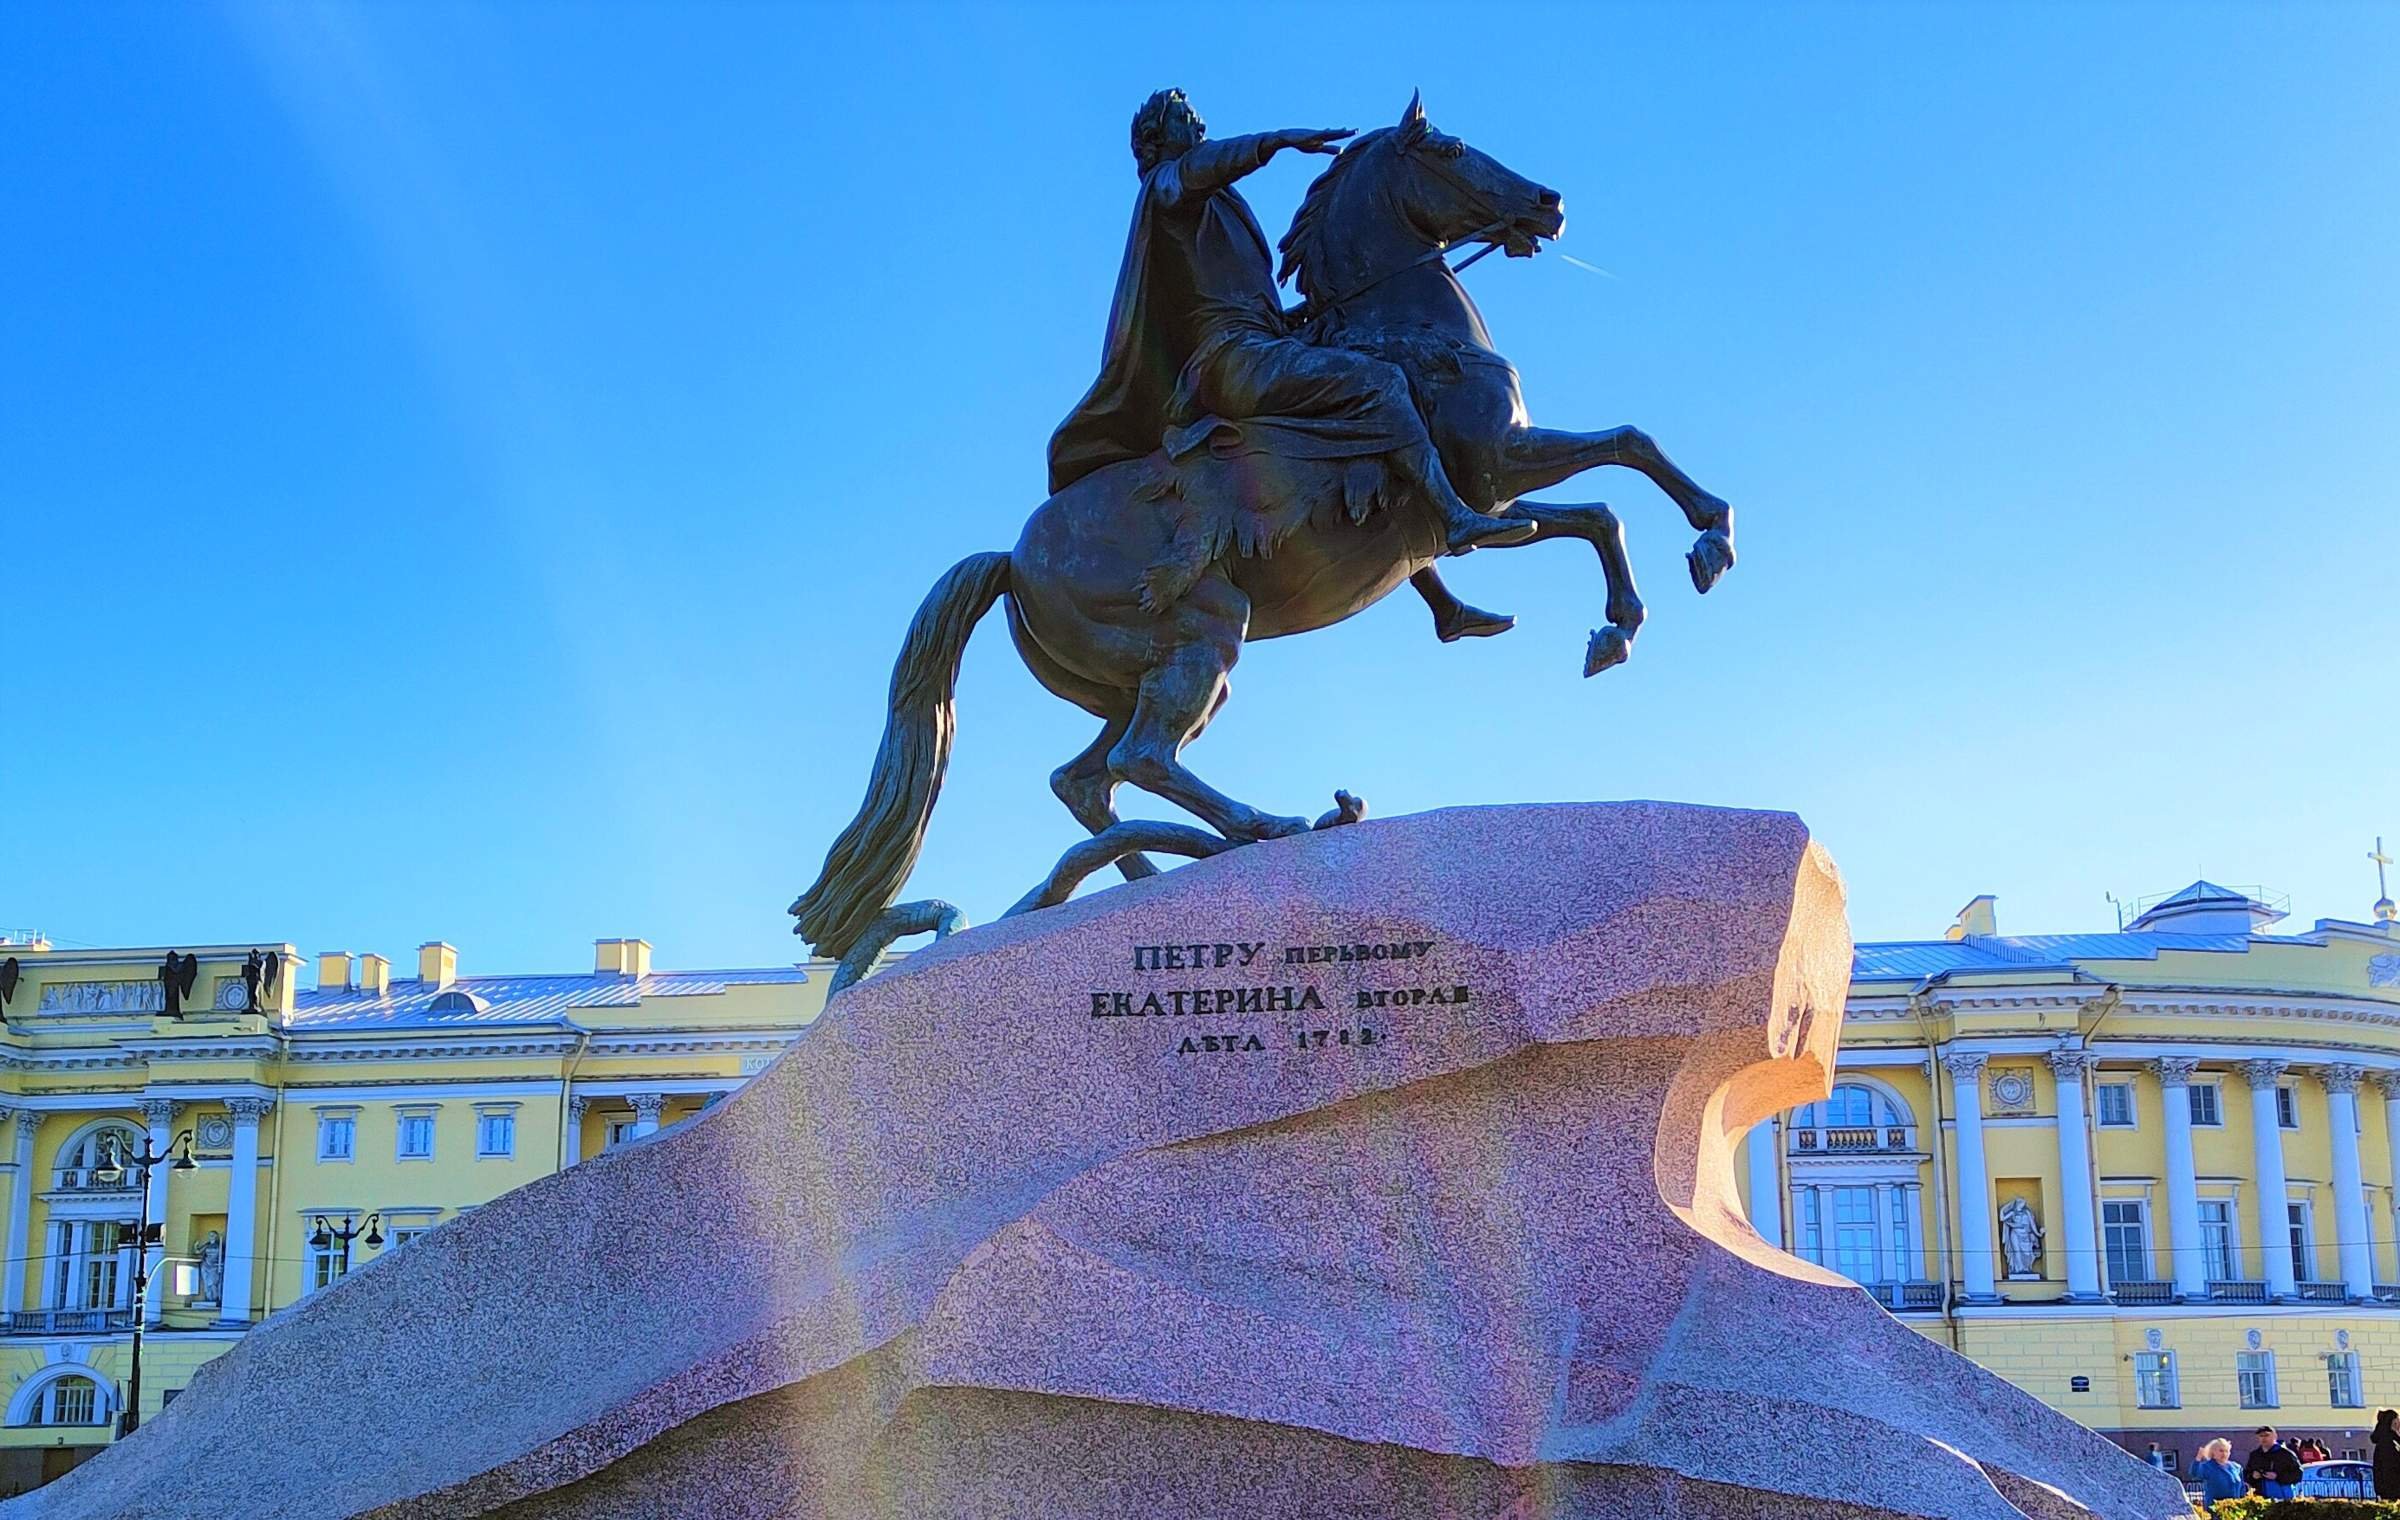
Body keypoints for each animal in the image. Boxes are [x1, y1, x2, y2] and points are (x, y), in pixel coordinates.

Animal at [796, 94, 1737, 955]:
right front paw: (1709, 541)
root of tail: (1012, 558)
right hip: (1206, 632)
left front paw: (1617, 627)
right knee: (1141, 759)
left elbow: (1598, 511)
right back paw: (1265, 827)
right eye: (1452, 149)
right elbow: (1626, 449)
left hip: (1137, 674)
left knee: (1085, 780)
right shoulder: (1504, 463)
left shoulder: (1495, 494)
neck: (1403, 328)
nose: (1548, 201)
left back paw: (1141, 873)